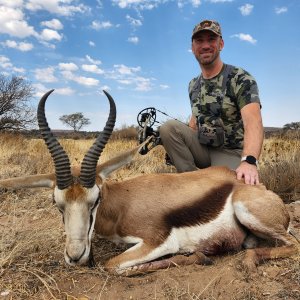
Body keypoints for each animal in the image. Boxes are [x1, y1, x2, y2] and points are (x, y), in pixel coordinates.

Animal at [0, 89, 298, 276]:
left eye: (95, 199)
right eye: (57, 203)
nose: (75, 255)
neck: (121, 206)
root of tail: (259, 188)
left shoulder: (158, 242)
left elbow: (113, 265)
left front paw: (199, 256)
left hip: (248, 213)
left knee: (292, 245)